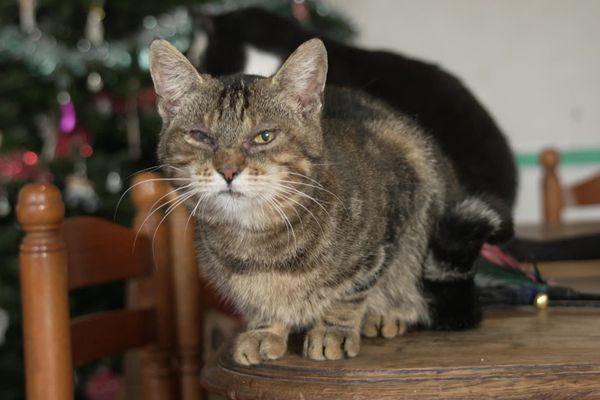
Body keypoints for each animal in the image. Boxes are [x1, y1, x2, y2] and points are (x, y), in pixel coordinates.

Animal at [149, 38, 502, 366]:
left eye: (265, 136)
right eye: (201, 136)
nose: (228, 171)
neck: (257, 240)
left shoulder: (386, 231)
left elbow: (350, 292)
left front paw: (334, 330)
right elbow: (263, 303)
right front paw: (265, 329)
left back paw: (386, 315)